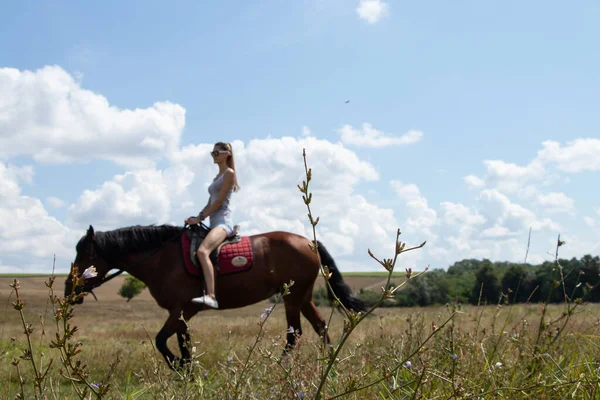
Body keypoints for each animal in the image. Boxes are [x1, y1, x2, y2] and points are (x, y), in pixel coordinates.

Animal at [64, 223, 366, 368]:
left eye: (85, 253)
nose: (69, 290)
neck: (162, 258)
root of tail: (308, 241)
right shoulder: (181, 314)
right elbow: (182, 342)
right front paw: (186, 370)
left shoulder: (182, 309)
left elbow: (162, 341)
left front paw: (178, 366)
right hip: (303, 297)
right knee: (320, 327)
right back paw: (329, 362)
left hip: (292, 298)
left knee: (295, 335)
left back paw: (282, 367)